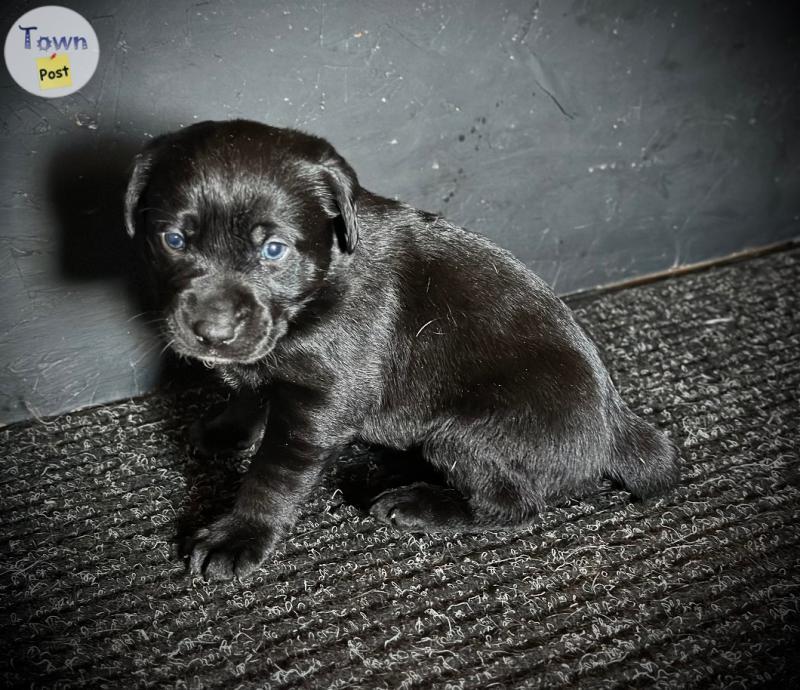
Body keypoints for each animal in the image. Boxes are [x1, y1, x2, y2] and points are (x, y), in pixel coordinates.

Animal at [122, 121, 680, 576]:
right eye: (174, 240)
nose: (212, 332)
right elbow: (246, 391)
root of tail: (615, 428)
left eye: (274, 250)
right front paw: (228, 430)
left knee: (512, 505)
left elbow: (273, 474)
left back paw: (419, 506)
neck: (323, 280)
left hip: (464, 436)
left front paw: (240, 534)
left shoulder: (322, 403)